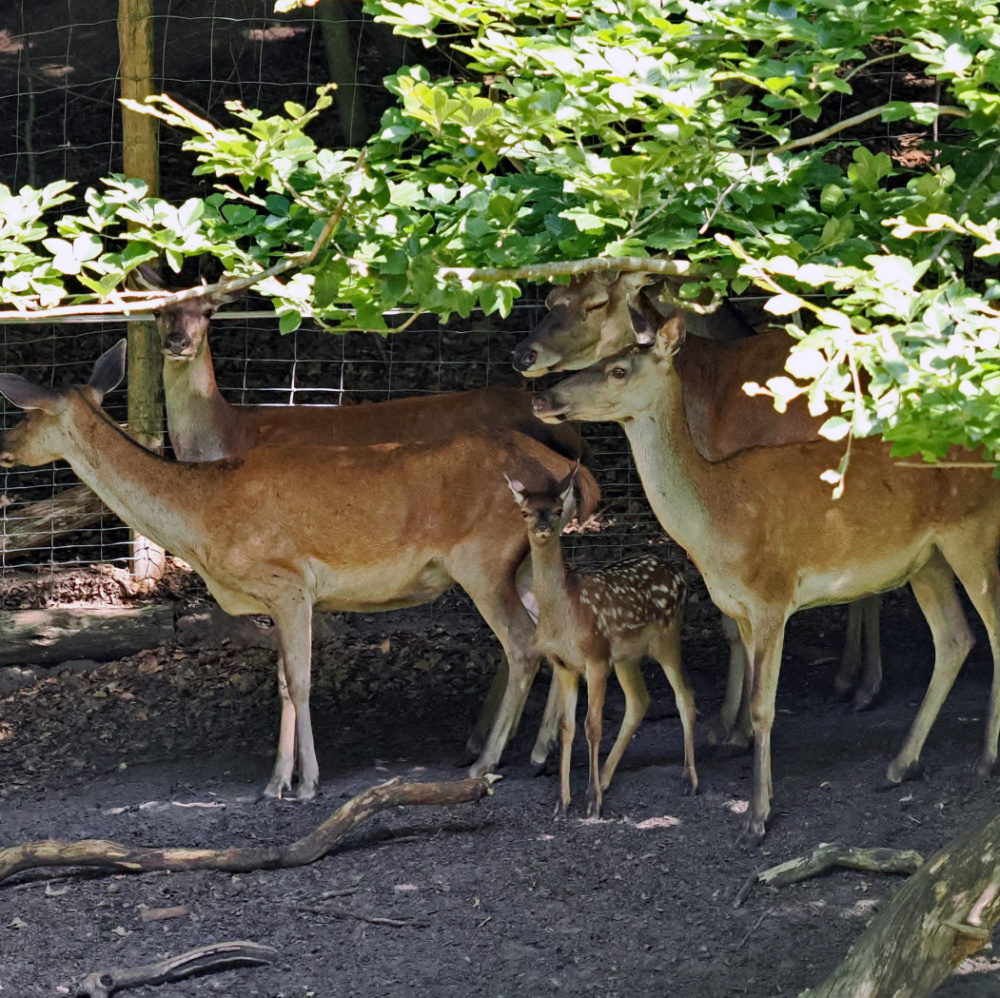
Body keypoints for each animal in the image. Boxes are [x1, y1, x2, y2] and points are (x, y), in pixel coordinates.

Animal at [0, 344, 596, 796]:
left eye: (25, 412)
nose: (4, 448)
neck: (202, 520)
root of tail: (571, 472)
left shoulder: (288, 582)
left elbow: (302, 681)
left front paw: (306, 782)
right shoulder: (276, 598)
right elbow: (285, 683)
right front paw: (275, 783)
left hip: (484, 559)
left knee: (523, 644)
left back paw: (487, 760)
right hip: (528, 559)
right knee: (551, 632)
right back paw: (537, 754)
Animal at [508, 470, 696, 820]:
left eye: (557, 510)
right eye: (525, 512)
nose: (542, 526)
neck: (565, 615)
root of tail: (678, 572)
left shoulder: (595, 658)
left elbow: (592, 726)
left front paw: (592, 804)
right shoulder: (563, 664)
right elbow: (567, 727)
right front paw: (562, 803)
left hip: (667, 637)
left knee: (685, 698)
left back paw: (689, 780)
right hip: (625, 656)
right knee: (639, 701)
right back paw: (606, 778)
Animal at [516, 270, 884, 724]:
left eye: (596, 302)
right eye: (551, 298)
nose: (523, 355)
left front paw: (730, 724)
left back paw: (862, 684)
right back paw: (853, 680)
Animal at [536, 318, 1000, 844]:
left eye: (618, 369)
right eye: (599, 356)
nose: (543, 398)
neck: (717, 523)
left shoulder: (772, 594)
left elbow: (763, 706)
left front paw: (756, 819)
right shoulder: (740, 607)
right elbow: (756, 695)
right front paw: (760, 794)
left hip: (973, 530)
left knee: (990, 631)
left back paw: (985, 758)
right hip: (926, 561)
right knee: (955, 638)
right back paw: (901, 763)